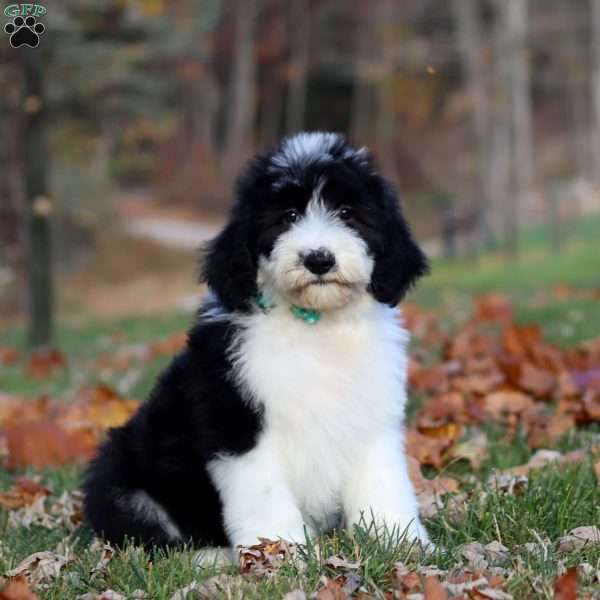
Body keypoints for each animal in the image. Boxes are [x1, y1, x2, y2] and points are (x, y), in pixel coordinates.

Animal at [84, 134, 432, 552]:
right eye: (288, 216)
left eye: (347, 212)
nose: (319, 259)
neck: (315, 325)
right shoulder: (238, 422)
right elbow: (263, 493)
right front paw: (281, 552)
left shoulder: (372, 417)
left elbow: (383, 484)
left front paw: (402, 543)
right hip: (119, 475)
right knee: (156, 539)